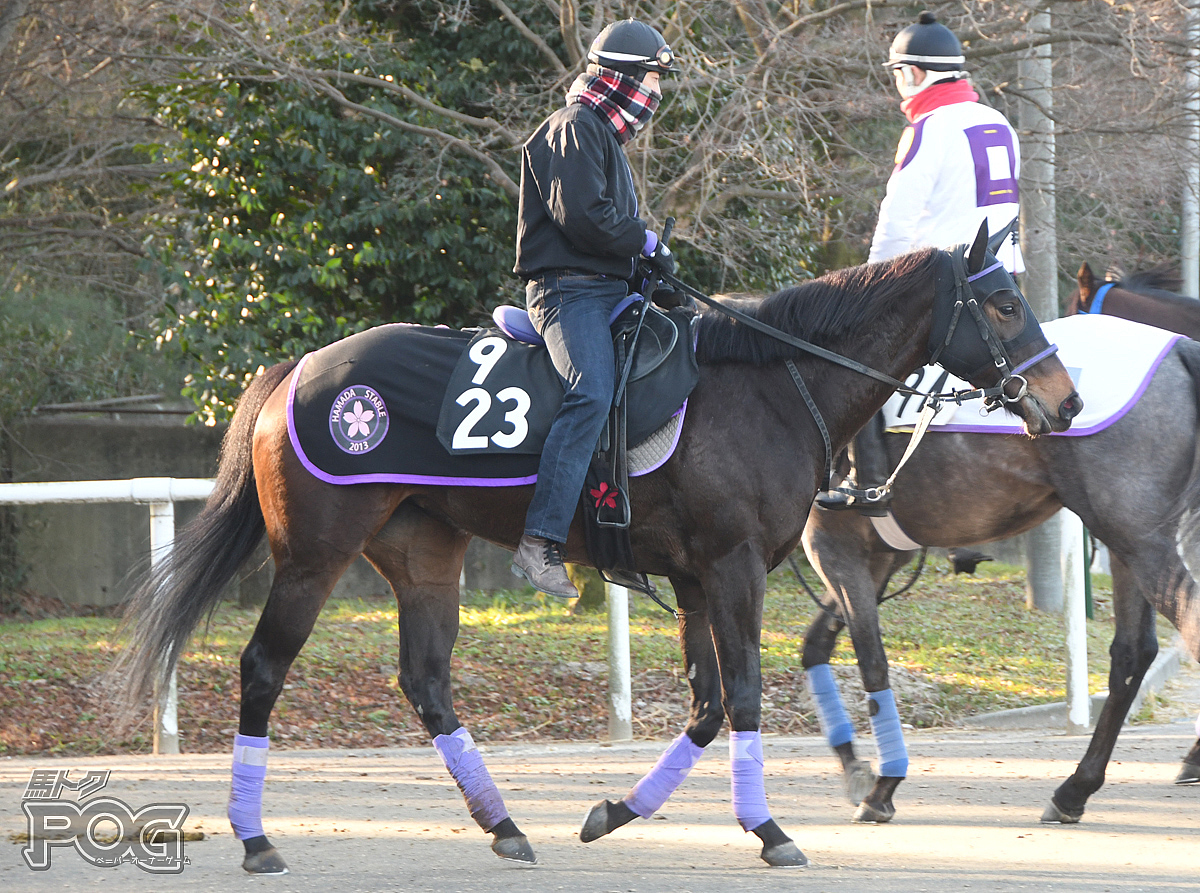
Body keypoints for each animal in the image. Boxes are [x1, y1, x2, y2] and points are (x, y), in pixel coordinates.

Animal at [114, 230, 1080, 873]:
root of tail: (301, 368)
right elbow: (743, 697)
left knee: (426, 680)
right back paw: (255, 837)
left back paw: (505, 824)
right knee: (263, 668)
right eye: (1003, 302)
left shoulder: (695, 579)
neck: (769, 381)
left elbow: (708, 706)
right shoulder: (730, 569)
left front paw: (615, 810)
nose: (1065, 401)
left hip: (427, 557)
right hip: (313, 557)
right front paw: (770, 830)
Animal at [796, 333, 1200, 820]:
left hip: (1138, 541)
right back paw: (1075, 790)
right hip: (1126, 543)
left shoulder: (835, 551)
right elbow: (816, 647)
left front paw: (881, 786)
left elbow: (870, 660)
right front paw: (855, 768)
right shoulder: (877, 559)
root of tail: (1181, 350)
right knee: (1132, 652)